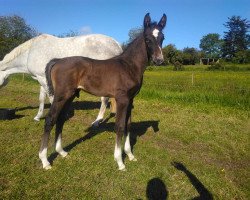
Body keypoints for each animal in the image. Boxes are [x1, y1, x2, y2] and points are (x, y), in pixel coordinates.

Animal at [39, 13, 167, 170]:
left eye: (162, 37)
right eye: (147, 38)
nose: (159, 60)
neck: (129, 66)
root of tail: (57, 61)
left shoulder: (130, 99)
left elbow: (128, 125)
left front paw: (130, 155)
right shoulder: (122, 99)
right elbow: (120, 126)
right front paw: (120, 161)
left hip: (70, 95)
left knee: (60, 118)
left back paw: (61, 151)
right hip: (61, 95)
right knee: (50, 119)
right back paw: (45, 160)